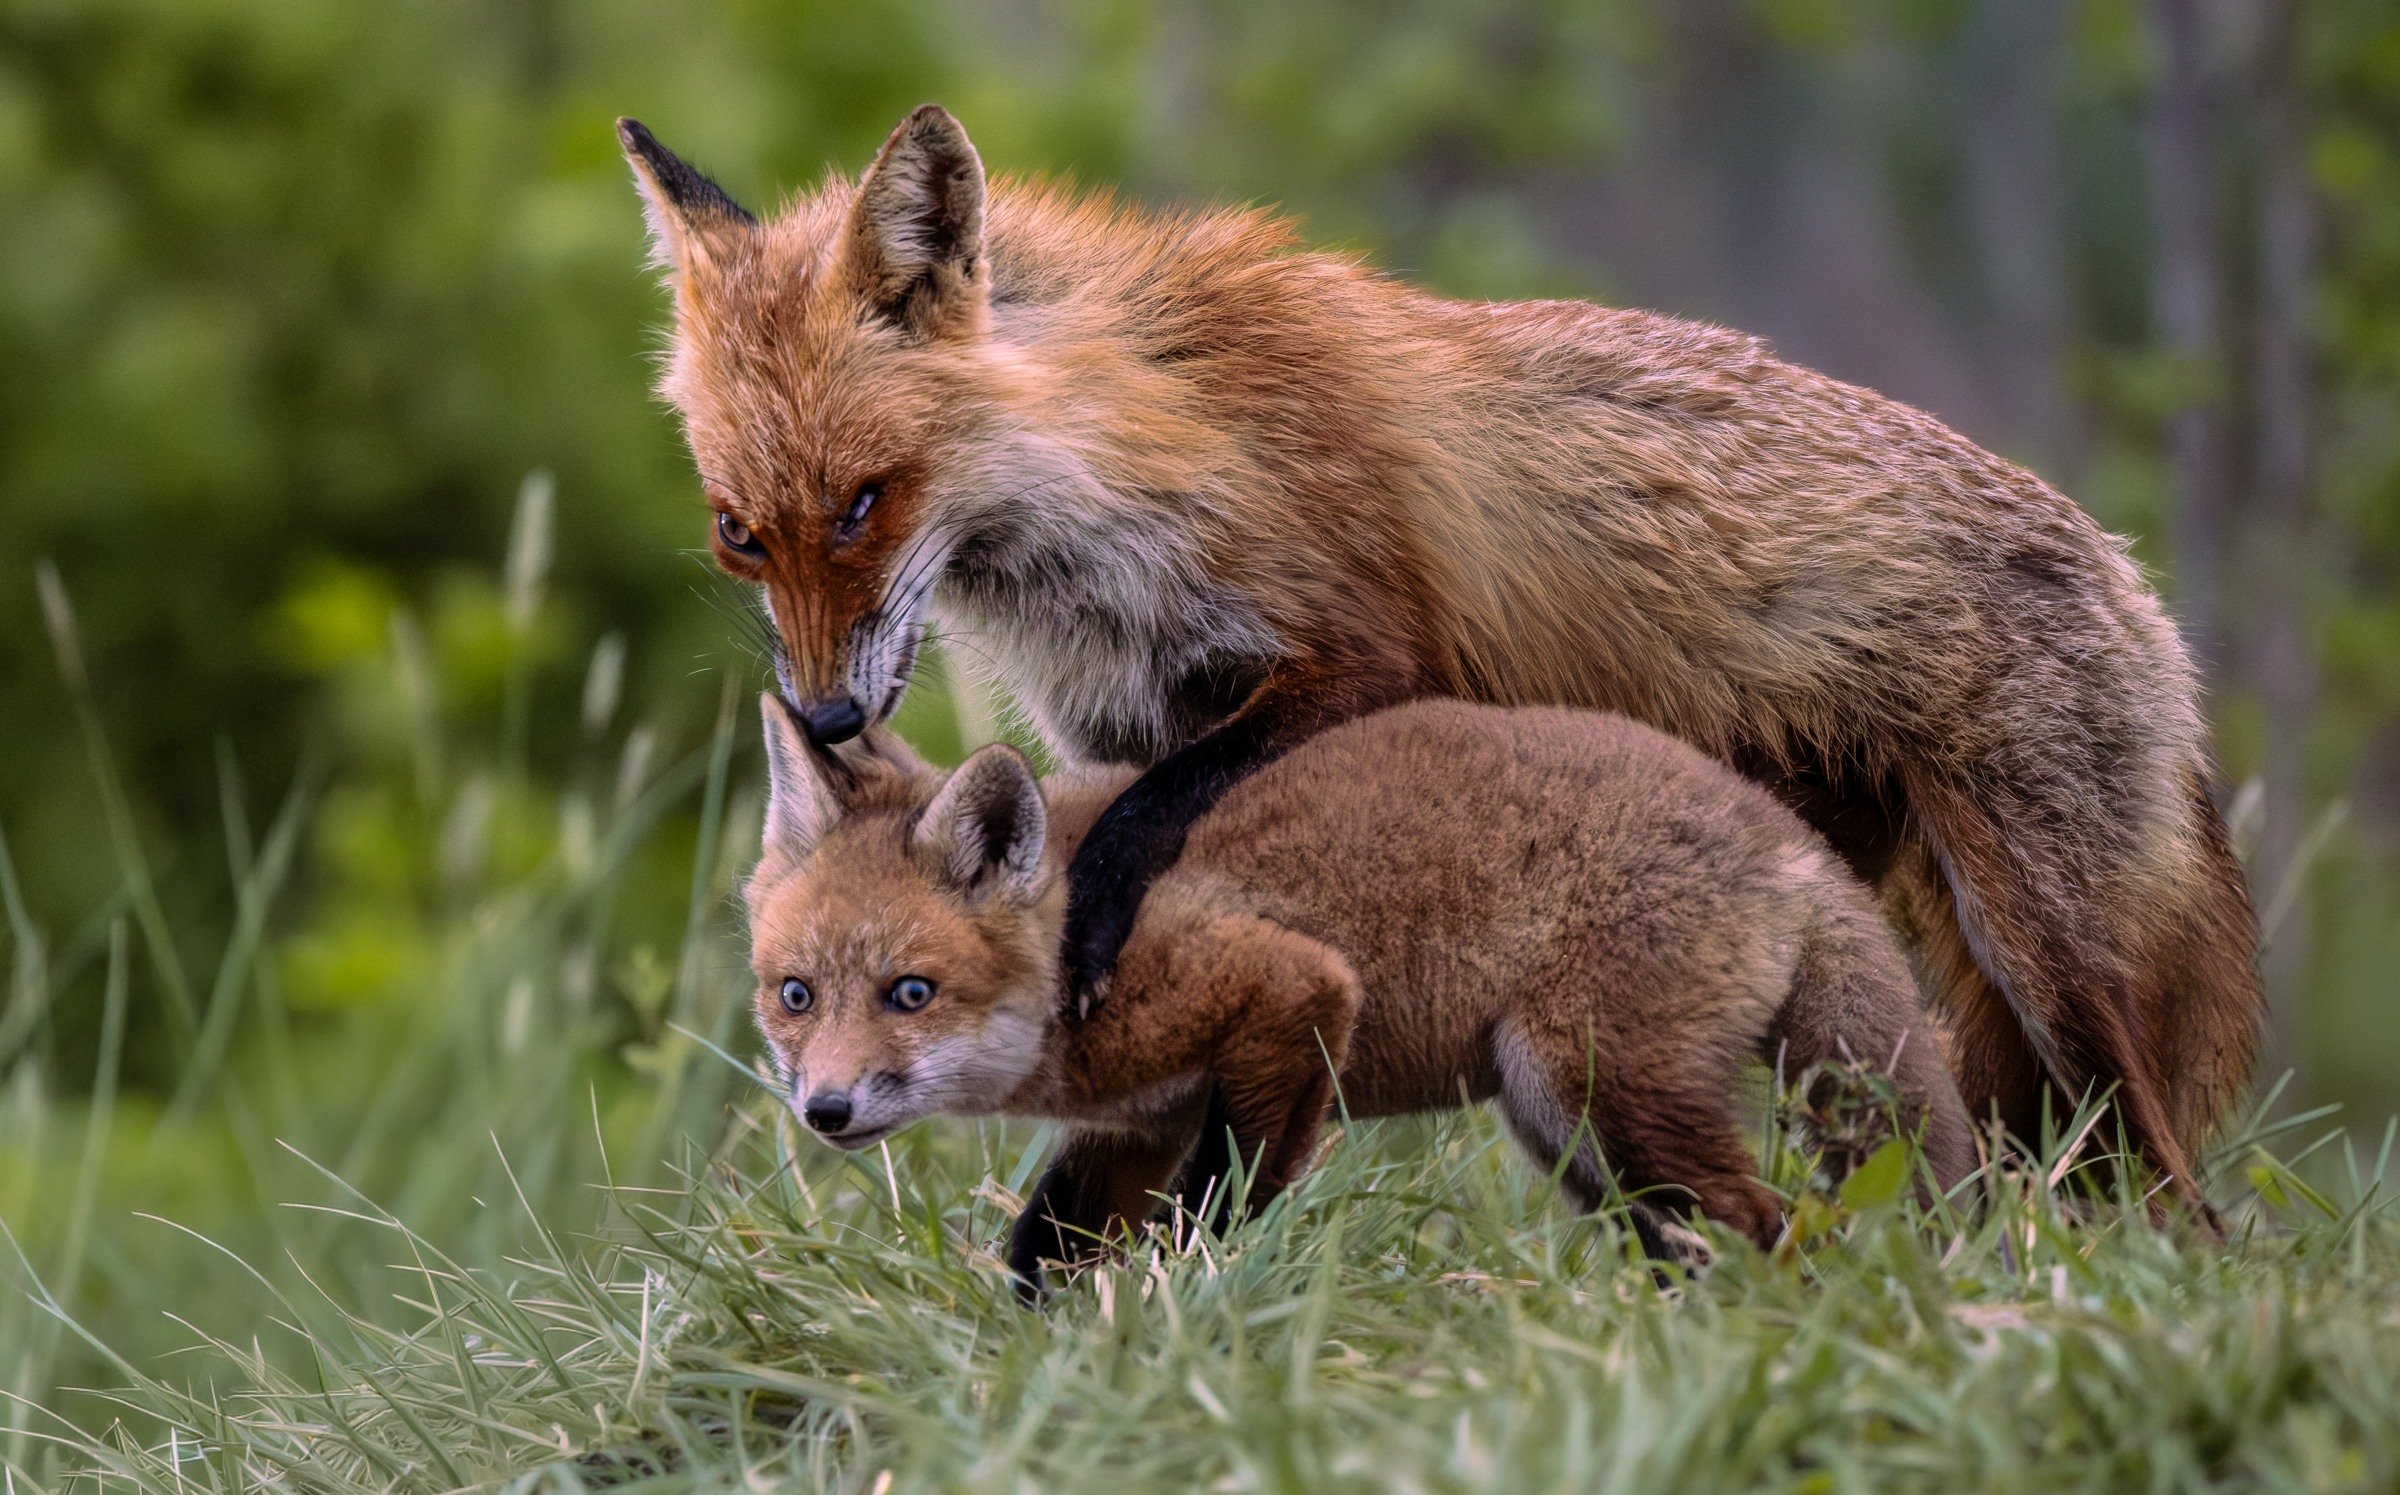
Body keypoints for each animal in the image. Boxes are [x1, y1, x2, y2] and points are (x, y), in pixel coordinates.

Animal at [622, 104, 2258, 1214]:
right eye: (737, 535)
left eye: (864, 502)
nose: (828, 709)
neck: (1139, 460)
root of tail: (2142, 588)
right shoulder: (1116, 726)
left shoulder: (1368, 652)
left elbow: (1157, 826)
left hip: (2048, 961)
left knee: (2176, 1185)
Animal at [743, 695, 1978, 1291]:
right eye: (795, 995)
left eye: (910, 991)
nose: (825, 1111)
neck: (1070, 968)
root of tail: (1787, 841)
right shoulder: (1141, 1117)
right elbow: (1043, 1251)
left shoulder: (1289, 995)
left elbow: (1218, 1205)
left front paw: (1188, 1301)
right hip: (1571, 1131)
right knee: (1693, 1234)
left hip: (1593, 1086)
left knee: (1763, 1222)